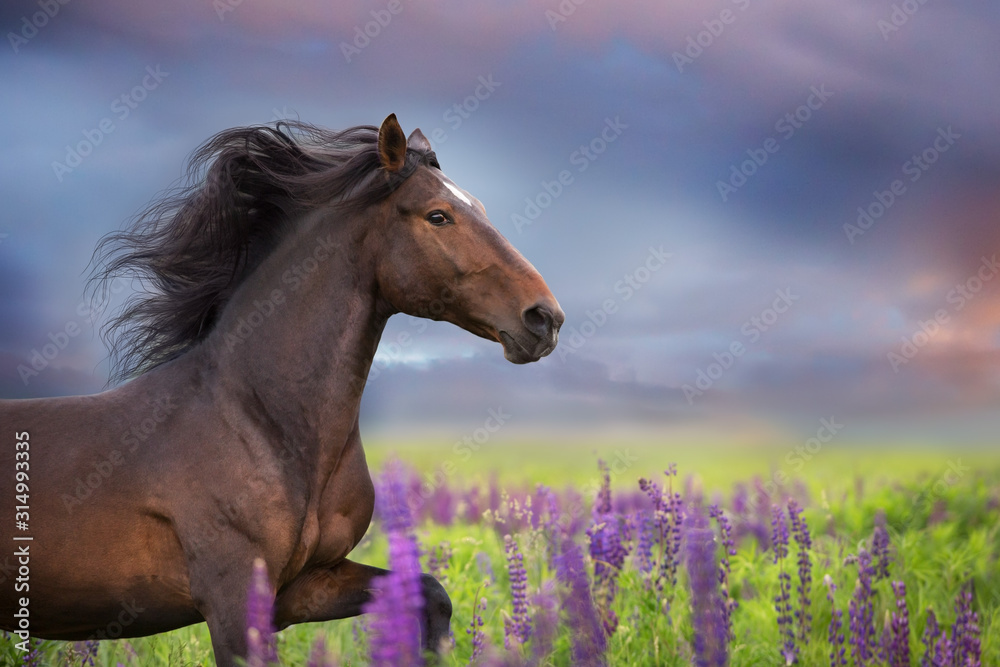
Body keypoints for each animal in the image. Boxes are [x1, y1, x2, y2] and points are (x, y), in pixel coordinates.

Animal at [0, 114, 564, 665]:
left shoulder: (307, 586)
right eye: (438, 216)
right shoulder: (232, 601)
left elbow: (431, 595)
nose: (545, 318)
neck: (262, 423)